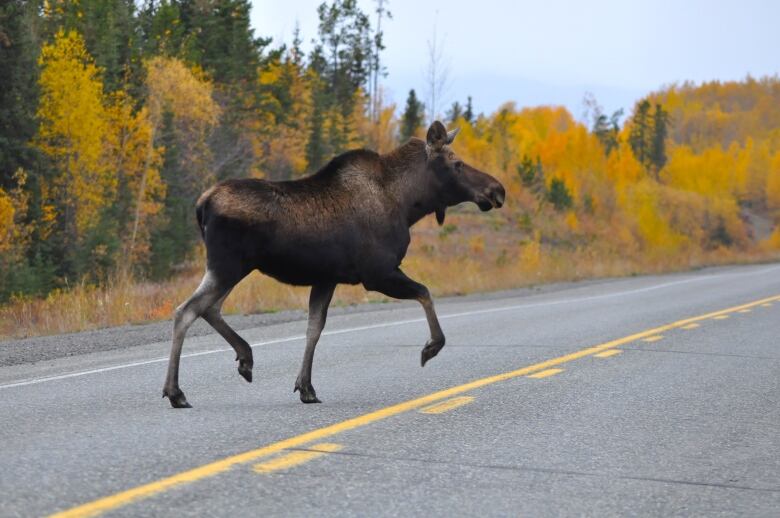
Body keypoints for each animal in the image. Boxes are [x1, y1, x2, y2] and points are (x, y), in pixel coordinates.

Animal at [164, 122, 506, 410]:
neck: (408, 203)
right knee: (186, 311)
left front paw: (305, 387)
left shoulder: (326, 279)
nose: (497, 190)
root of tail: (202, 204)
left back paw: (244, 358)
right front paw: (431, 347)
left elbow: (314, 329)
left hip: (229, 269)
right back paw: (176, 392)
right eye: (457, 163)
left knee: (208, 309)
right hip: (228, 267)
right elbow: (425, 293)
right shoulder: (377, 274)